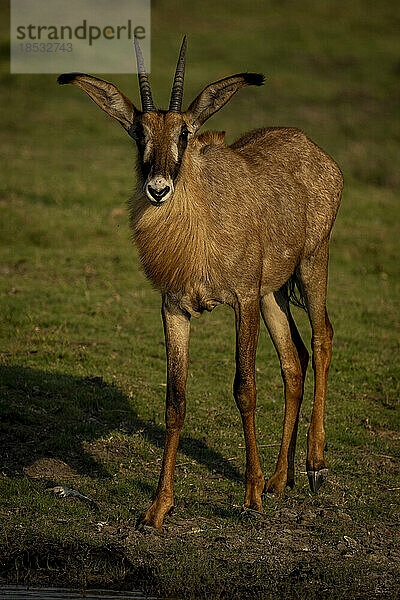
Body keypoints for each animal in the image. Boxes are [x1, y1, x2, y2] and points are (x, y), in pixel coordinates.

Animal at [57, 36, 342, 528]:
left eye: (185, 133)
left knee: (321, 339)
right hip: (274, 293)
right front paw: (157, 507)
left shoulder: (242, 300)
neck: (201, 223)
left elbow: (244, 388)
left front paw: (250, 497)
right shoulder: (175, 307)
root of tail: (314, 151)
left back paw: (313, 466)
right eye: (139, 133)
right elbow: (176, 400)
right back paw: (280, 478)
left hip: (311, 263)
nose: (157, 188)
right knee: (294, 360)